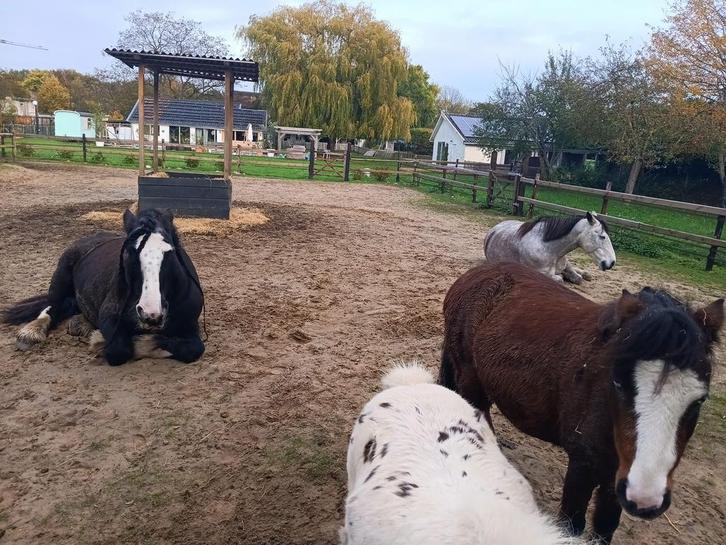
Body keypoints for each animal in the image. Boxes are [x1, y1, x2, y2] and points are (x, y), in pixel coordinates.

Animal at [2, 209, 205, 366]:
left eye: (169, 252)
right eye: (128, 252)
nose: (150, 314)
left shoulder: (190, 325)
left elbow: (192, 349)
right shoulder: (109, 317)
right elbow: (119, 349)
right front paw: (100, 341)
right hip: (60, 277)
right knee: (51, 307)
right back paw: (30, 333)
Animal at [439, 262, 722, 544]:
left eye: (700, 400)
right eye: (618, 383)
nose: (645, 498)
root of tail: (476, 273)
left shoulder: (615, 476)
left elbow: (605, 527)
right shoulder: (582, 464)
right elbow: (572, 525)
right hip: (469, 377)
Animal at [483, 212, 616, 284]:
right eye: (602, 236)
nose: (612, 262)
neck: (550, 249)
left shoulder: (565, 266)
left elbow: (578, 278)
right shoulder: (541, 274)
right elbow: (560, 279)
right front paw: (563, 277)